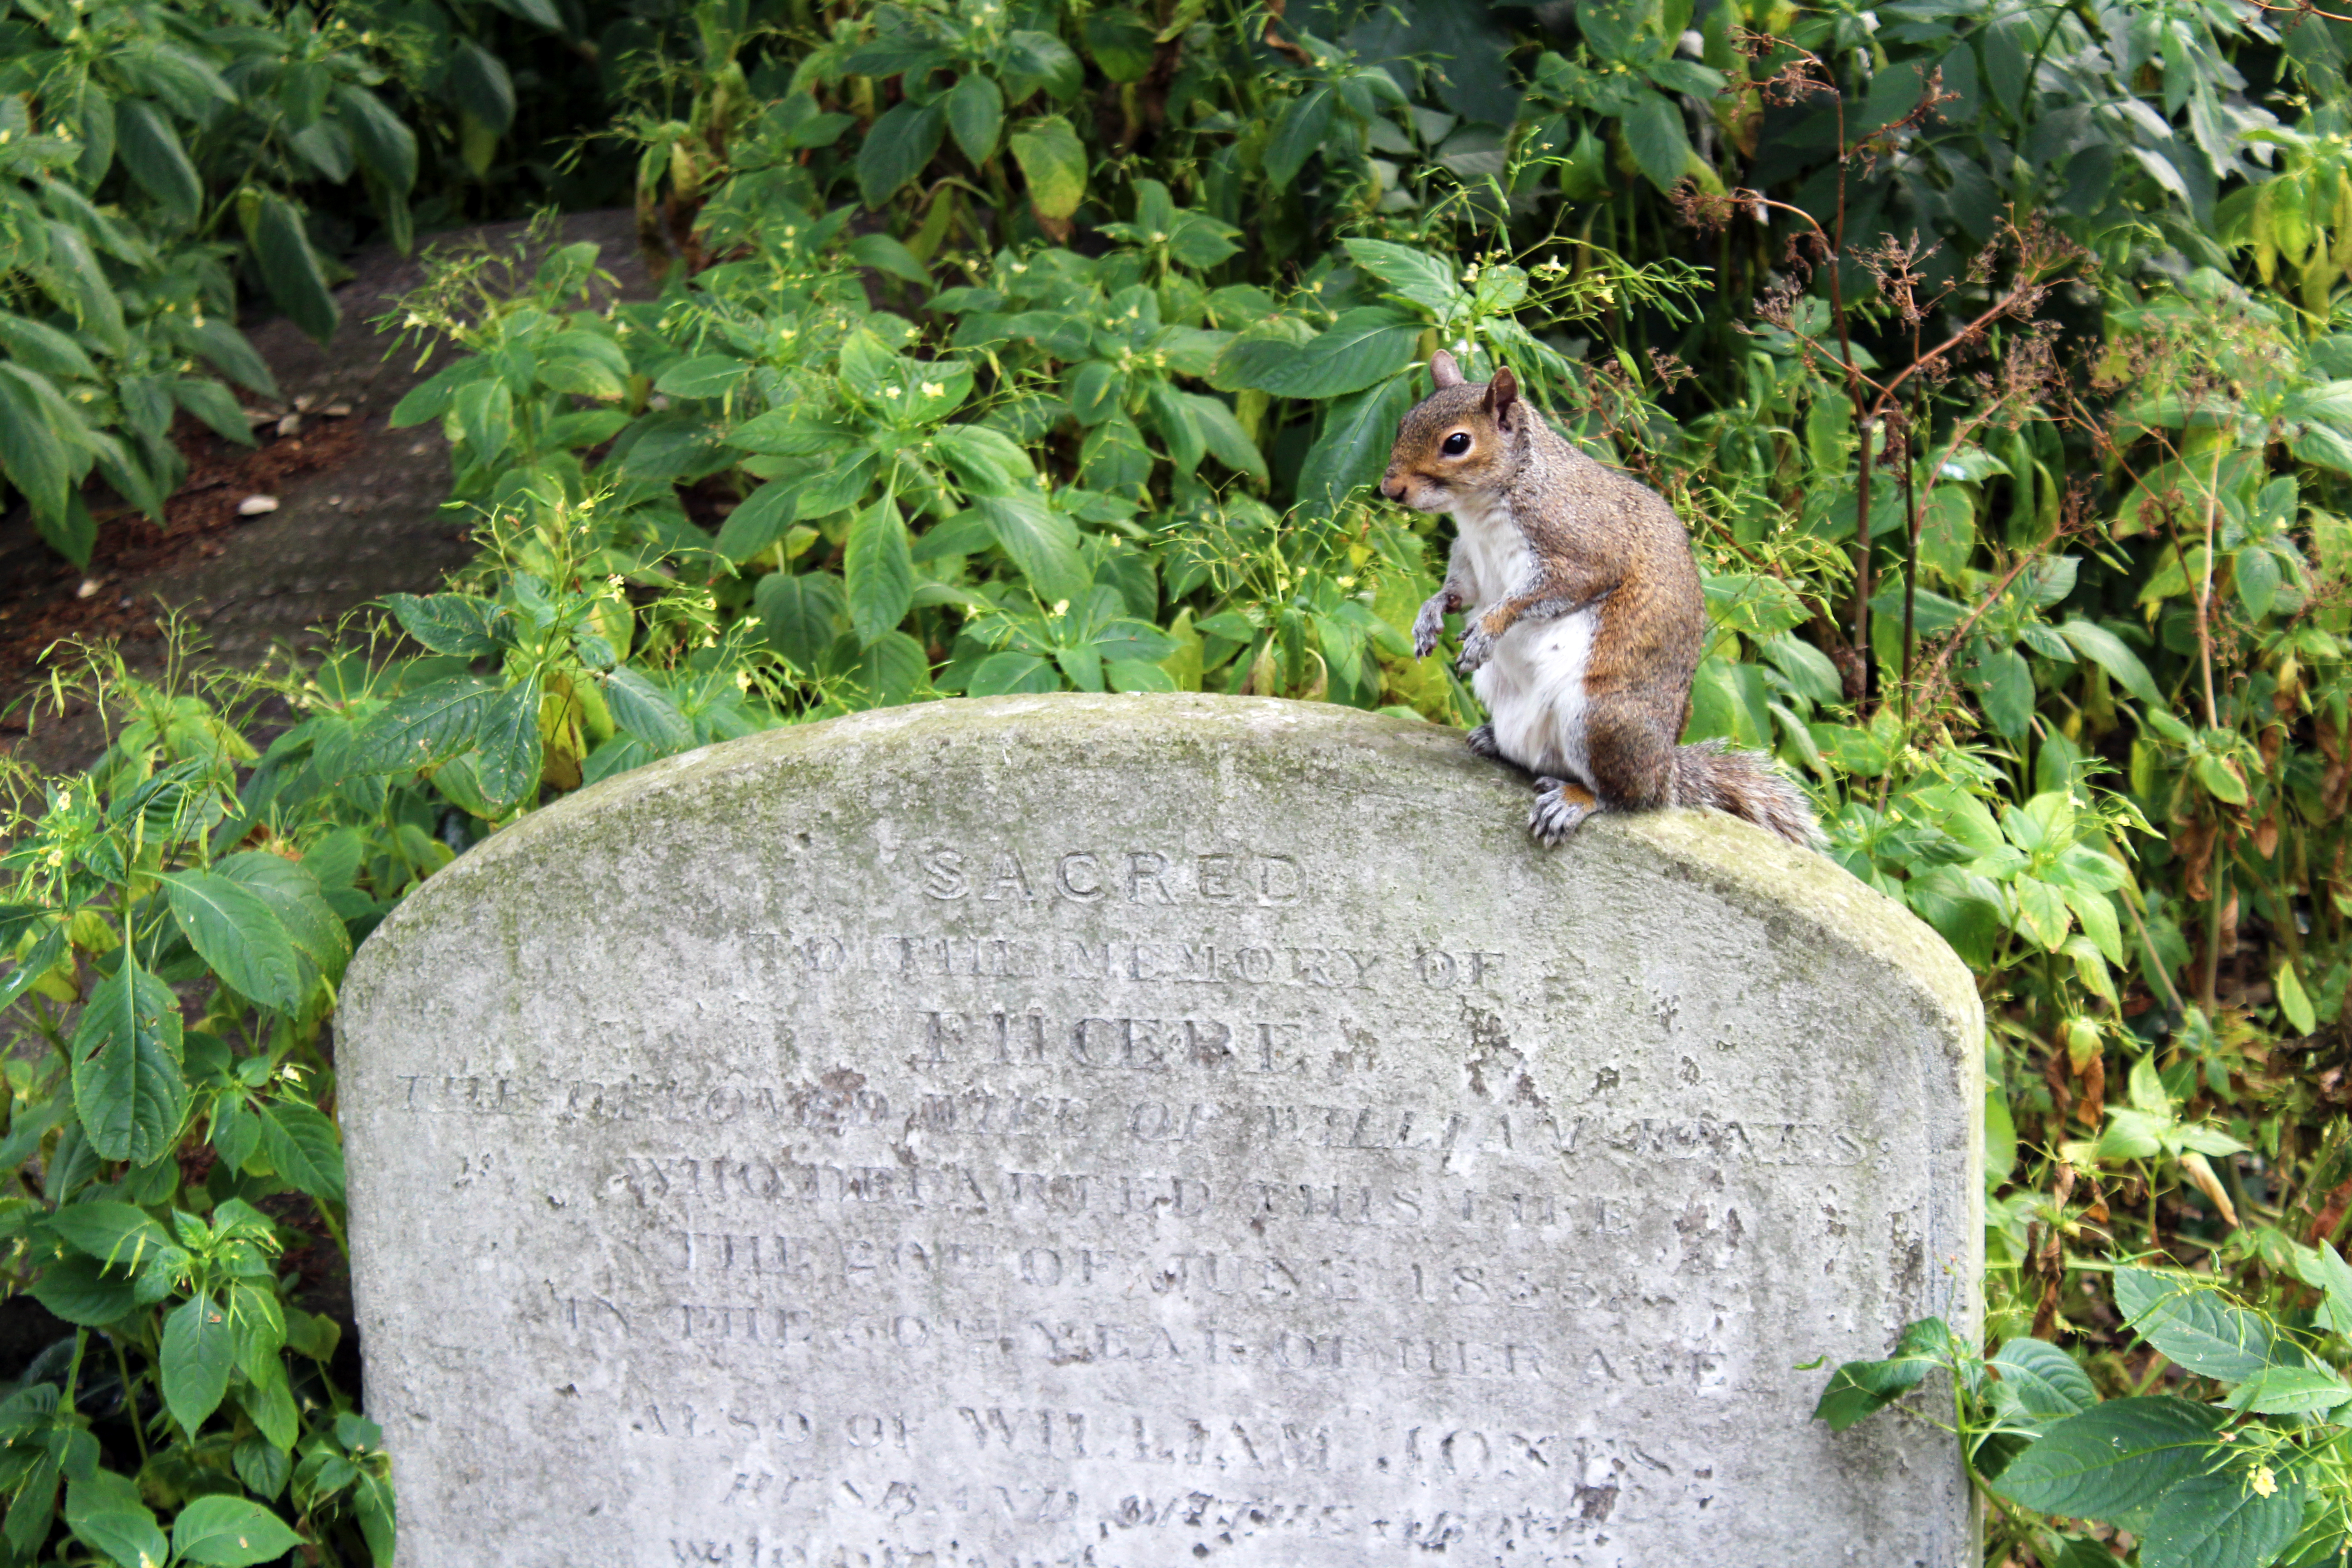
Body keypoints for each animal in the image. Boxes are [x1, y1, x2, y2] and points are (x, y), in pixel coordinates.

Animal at [1373, 350, 1816, 851]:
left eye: (1458, 443)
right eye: (1404, 422)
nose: (1390, 489)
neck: (1486, 502)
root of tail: (1665, 774)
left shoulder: (1583, 550)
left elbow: (1537, 596)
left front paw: (1488, 630)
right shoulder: (1470, 558)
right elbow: (1457, 592)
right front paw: (1428, 617)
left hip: (1601, 719)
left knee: (1624, 797)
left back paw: (1576, 800)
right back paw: (1495, 741)